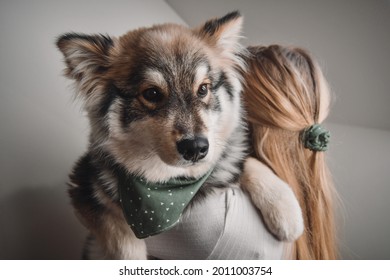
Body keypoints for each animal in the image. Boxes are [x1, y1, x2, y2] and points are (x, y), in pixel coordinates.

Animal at [56, 11, 304, 260]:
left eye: (203, 89)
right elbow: (123, 244)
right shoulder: (84, 187)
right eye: (152, 93)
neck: (170, 187)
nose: (196, 148)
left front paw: (286, 210)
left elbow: (247, 161)